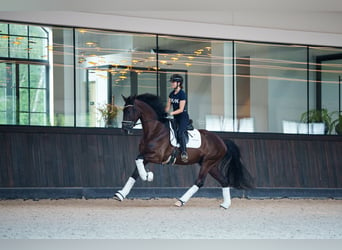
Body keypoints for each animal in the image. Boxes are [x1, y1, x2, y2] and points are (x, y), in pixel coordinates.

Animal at [115, 93, 254, 208]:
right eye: (124, 110)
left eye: (130, 110)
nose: (124, 129)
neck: (155, 130)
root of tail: (222, 141)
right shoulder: (146, 155)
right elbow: (135, 172)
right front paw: (121, 194)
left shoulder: (157, 156)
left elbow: (137, 161)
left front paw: (148, 176)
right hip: (210, 165)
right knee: (224, 180)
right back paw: (225, 205)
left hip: (208, 163)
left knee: (199, 182)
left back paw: (180, 201)